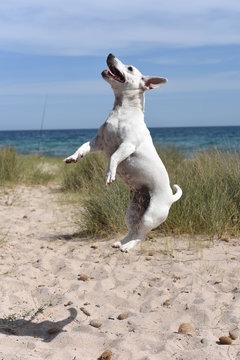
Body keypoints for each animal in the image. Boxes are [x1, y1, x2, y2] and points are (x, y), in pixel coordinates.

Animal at [63, 53, 182, 252]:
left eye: (130, 68)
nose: (110, 54)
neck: (121, 110)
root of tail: (171, 199)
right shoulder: (98, 142)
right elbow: (83, 147)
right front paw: (73, 157)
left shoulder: (127, 145)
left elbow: (114, 157)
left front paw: (109, 174)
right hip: (133, 212)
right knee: (133, 230)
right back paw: (120, 242)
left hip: (150, 215)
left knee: (141, 235)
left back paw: (128, 247)